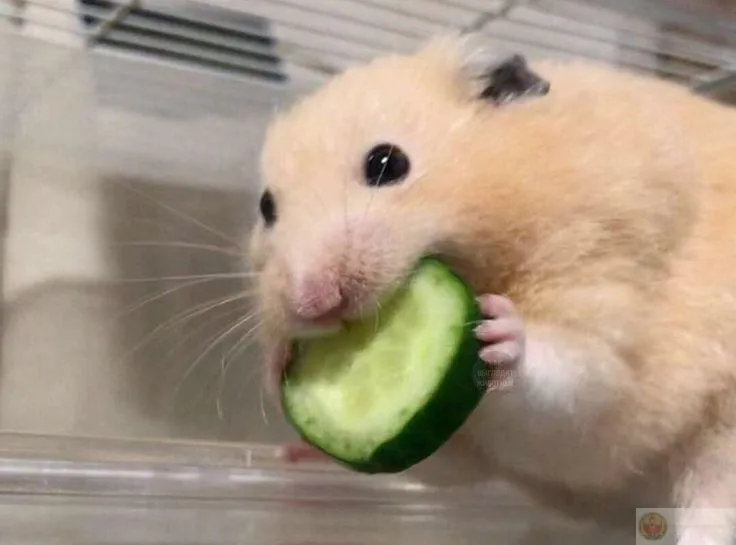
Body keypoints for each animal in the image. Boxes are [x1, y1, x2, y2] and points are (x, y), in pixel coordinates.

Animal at [248, 33, 736, 544]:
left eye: (386, 163)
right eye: (266, 206)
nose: (313, 303)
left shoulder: (603, 281)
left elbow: (576, 375)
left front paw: (499, 330)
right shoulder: (455, 441)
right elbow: (439, 467)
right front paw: (278, 371)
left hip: (722, 439)